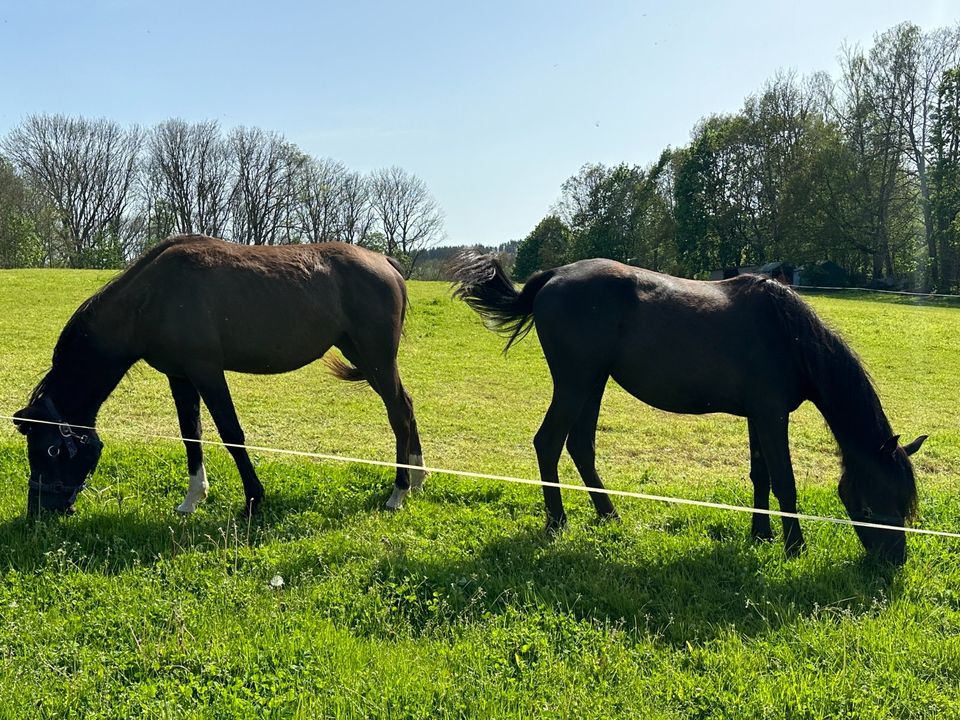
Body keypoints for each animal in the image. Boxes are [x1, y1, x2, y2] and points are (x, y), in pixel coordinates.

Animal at [13, 236, 426, 516]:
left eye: (50, 449)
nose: (40, 510)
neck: (150, 297)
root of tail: (384, 261)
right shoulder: (180, 377)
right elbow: (190, 435)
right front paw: (193, 498)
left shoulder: (207, 371)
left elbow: (231, 433)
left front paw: (254, 498)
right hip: (363, 355)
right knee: (406, 405)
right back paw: (418, 477)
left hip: (376, 357)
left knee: (398, 415)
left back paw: (398, 492)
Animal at [454, 256, 928, 564]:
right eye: (877, 497)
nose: (895, 561)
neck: (787, 334)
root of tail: (554, 275)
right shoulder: (772, 415)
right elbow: (785, 482)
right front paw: (795, 547)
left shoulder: (759, 416)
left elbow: (760, 475)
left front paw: (761, 535)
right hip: (575, 383)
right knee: (549, 443)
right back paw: (557, 522)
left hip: (592, 384)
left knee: (581, 446)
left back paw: (609, 515)